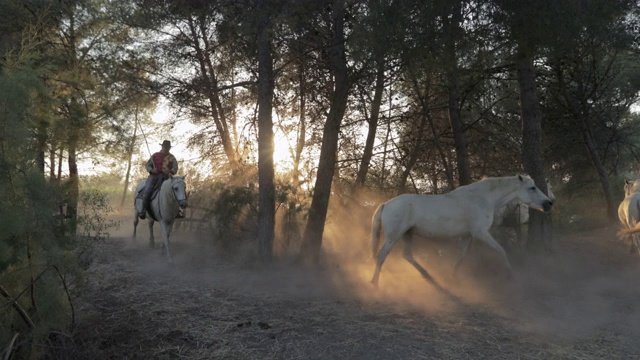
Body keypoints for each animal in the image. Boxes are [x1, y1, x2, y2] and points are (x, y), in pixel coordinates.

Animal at [370, 174, 556, 286]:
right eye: (532, 188)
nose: (549, 203)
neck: (483, 199)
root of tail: (386, 204)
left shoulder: (467, 235)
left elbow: (461, 256)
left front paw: (453, 278)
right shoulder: (480, 233)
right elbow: (500, 250)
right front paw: (510, 275)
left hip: (408, 234)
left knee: (407, 256)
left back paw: (427, 275)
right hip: (394, 236)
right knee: (381, 255)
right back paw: (375, 282)